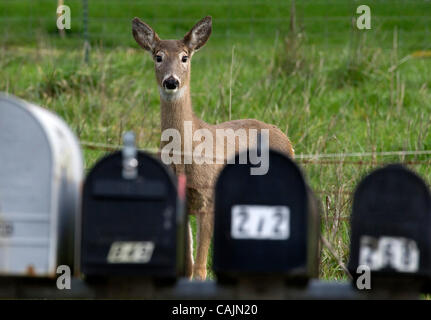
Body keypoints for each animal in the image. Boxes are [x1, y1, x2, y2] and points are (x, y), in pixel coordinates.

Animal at [132, 15, 294, 280]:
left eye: (185, 57)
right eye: (158, 56)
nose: (171, 81)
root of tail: (288, 140)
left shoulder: (208, 197)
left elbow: (199, 269)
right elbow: (187, 267)